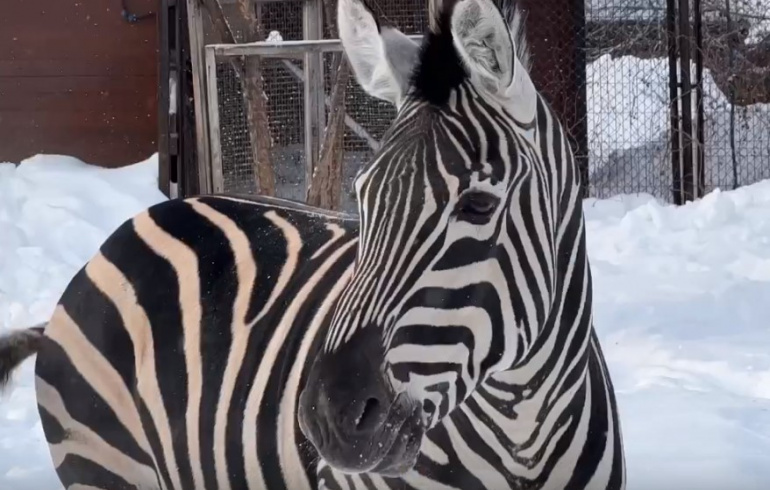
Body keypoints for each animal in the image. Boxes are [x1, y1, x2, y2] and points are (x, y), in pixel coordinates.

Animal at [0, 0, 624, 488]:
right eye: (363, 198)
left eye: (477, 206)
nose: (325, 418)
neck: (523, 428)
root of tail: (133, 224)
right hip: (104, 462)